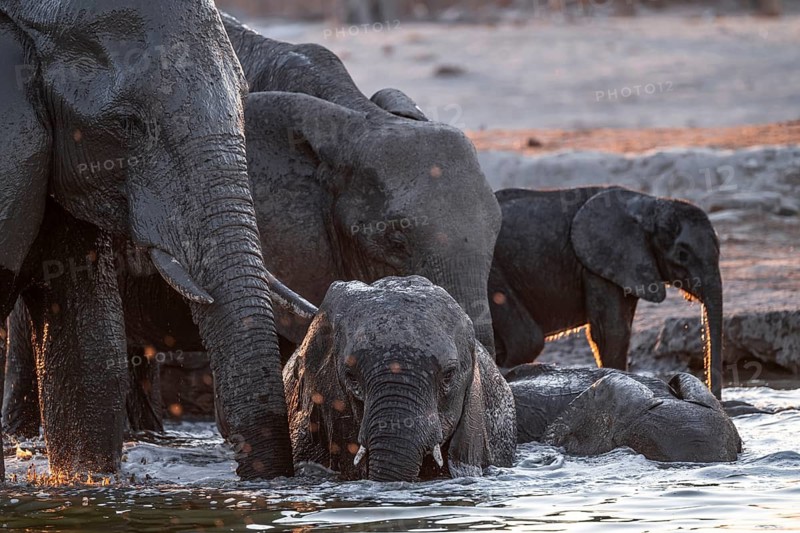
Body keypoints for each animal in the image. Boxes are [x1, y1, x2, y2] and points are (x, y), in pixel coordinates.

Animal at [488, 187, 724, 398]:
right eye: (682, 254)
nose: (715, 398)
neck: (648, 207)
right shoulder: (598, 264)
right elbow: (611, 333)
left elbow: (620, 331)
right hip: (492, 272)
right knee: (528, 340)